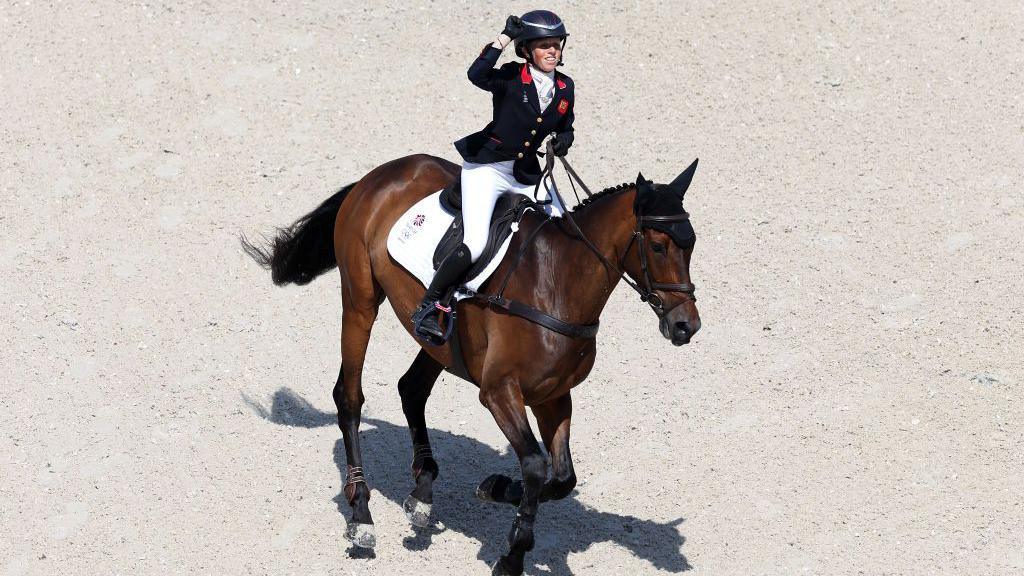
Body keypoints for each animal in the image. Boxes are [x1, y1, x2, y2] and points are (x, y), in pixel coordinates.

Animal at [243, 152, 700, 573]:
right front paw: (512, 551)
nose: (685, 326)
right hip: (360, 301)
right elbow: (535, 465)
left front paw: (498, 490)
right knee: (349, 398)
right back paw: (363, 518)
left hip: (438, 343)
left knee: (411, 389)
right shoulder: (500, 392)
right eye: (657, 246)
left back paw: (422, 495)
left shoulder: (553, 396)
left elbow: (561, 477)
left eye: (692, 243)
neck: (559, 283)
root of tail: (382, 172)